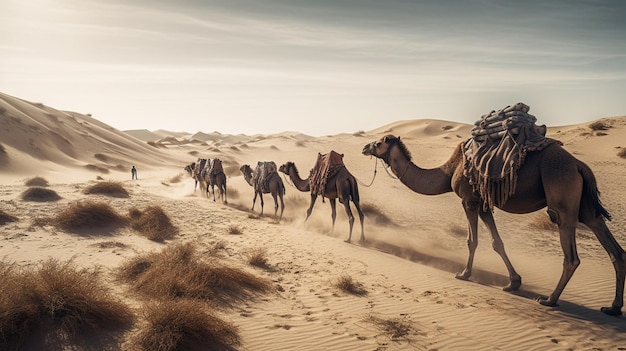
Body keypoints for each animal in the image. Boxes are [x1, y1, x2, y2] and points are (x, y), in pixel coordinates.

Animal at [360, 135, 624, 316]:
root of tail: (579, 165)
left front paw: (464, 274)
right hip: (586, 208)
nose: (364, 147)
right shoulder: (485, 205)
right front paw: (513, 282)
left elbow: (472, 240)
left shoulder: (469, 200)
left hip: (563, 201)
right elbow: (497, 242)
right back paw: (612, 307)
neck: (449, 170)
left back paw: (550, 299)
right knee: (614, 248)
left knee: (571, 255)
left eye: (379, 142)